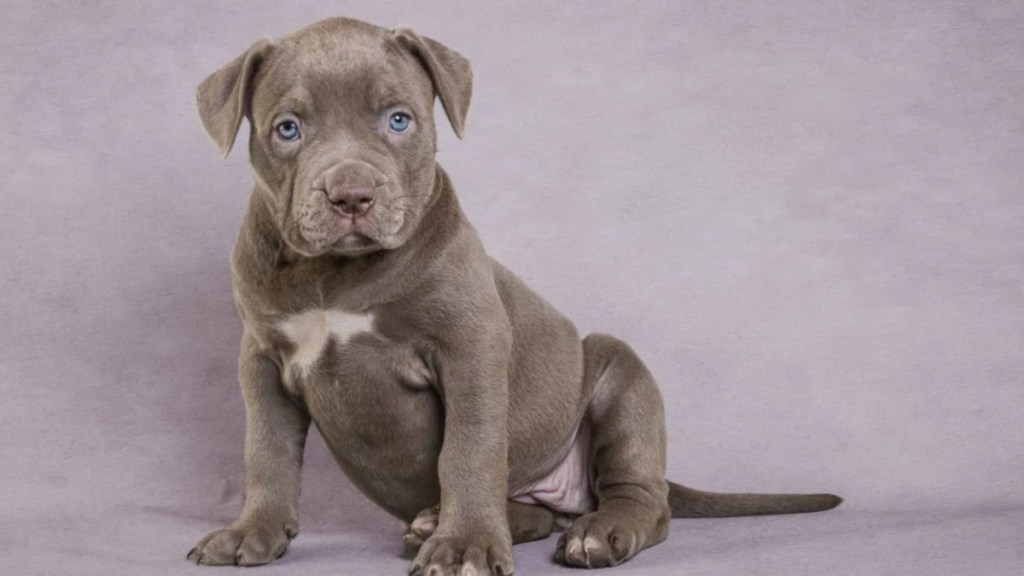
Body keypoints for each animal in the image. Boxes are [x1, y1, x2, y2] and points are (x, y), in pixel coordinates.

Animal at [184, 15, 839, 569]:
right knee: (538, 515)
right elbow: (266, 451)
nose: (351, 195)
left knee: (644, 501)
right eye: (287, 129)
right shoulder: (262, 361)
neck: (339, 272)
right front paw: (251, 532)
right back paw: (452, 522)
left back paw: (598, 532)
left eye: (399, 120)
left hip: (620, 374)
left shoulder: (470, 348)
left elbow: (468, 450)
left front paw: (466, 546)